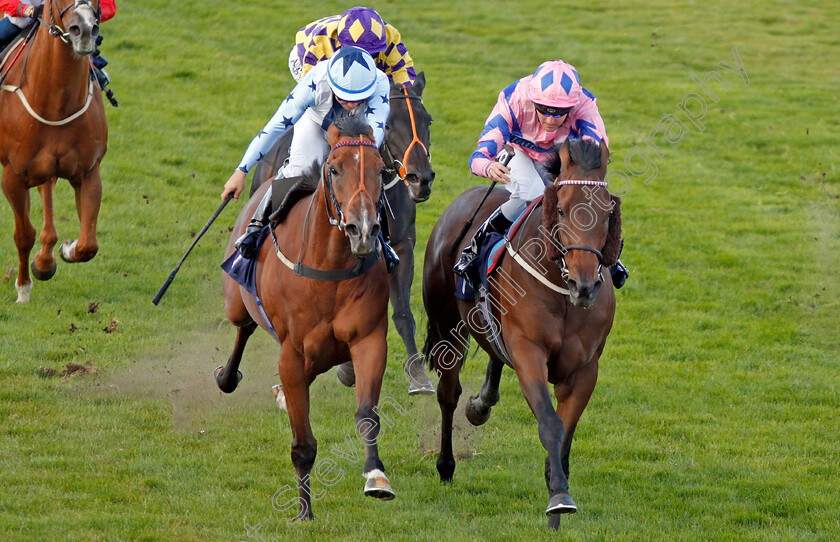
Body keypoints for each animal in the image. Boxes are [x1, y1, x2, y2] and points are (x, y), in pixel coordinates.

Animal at [0, 0, 107, 302]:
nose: (84, 29)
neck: (56, 104)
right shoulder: (12, 176)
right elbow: (23, 234)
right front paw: (23, 289)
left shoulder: (89, 172)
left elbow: (88, 244)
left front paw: (64, 251)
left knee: (46, 189)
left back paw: (46, 258)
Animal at [220, 116, 398, 524]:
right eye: (334, 169)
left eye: (381, 170)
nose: (363, 229)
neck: (328, 268)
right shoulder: (292, 353)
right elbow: (303, 443)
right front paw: (303, 511)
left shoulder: (369, 339)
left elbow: (367, 414)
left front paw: (376, 477)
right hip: (236, 301)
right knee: (243, 328)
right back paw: (227, 377)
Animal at [424, 138, 620, 528]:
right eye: (560, 209)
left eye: (607, 213)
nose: (584, 284)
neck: (563, 295)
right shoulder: (529, 352)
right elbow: (550, 424)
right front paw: (559, 498)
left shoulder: (584, 369)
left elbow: (565, 434)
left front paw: (557, 491)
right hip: (445, 326)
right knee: (448, 394)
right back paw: (446, 464)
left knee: (493, 358)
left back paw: (481, 405)